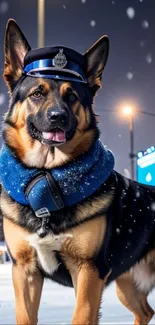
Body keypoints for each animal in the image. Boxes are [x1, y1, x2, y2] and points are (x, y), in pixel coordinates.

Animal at [0, 18, 155, 324]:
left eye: (72, 96)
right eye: (37, 93)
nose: (57, 117)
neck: (47, 179)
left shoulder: (88, 271)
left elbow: (82, 316)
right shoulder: (25, 271)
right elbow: (25, 316)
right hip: (127, 284)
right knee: (146, 312)